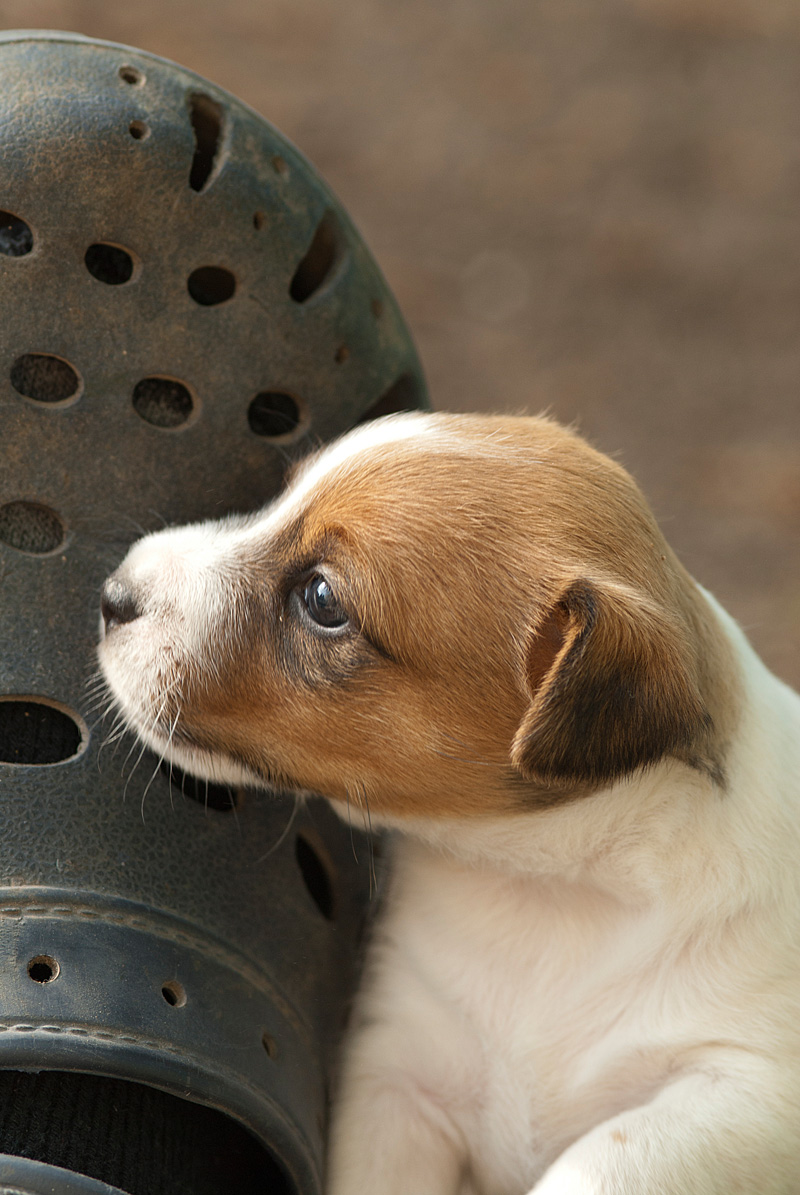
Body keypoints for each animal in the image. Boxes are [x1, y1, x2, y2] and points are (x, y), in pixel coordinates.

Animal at [96, 413, 798, 1195]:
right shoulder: (397, 1076)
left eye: (322, 600)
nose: (112, 593)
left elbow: (605, 1158)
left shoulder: (747, 1092)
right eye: (279, 497)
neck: (547, 897)